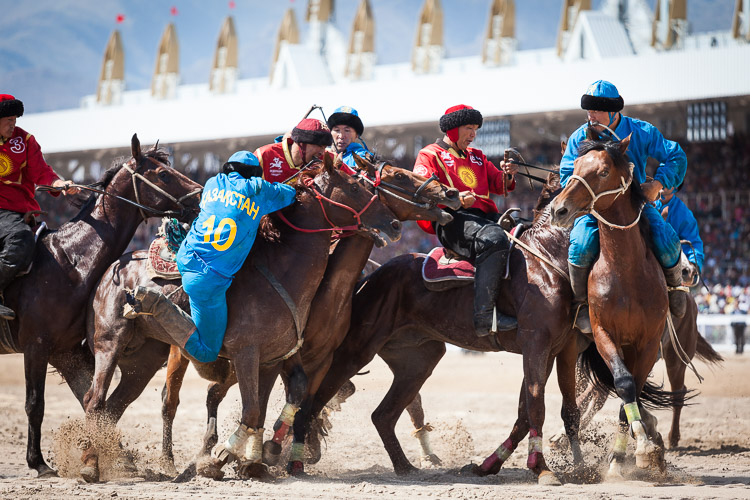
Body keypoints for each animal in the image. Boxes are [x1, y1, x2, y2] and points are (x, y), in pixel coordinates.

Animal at [0, 135, 203, 478]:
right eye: (163, 174)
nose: (201, 195)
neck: (67, 261)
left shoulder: (65, 351)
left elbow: (93, 401)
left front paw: (114, 456)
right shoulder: (37, 345)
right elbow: (36, 403)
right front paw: (38, 462)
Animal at [308, 172, 584, 484]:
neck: (543, 259)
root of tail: (371, 277)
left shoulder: (558, 349)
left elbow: (537, 410)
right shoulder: (536, 345)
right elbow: (536, 405)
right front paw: (543, 469)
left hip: (418, 361)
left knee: (383, 415)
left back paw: (405, 467)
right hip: (356, 352)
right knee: (317, 397)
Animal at [548, 136, 684, 476]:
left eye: (603, 171)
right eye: (575, 166)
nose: (559, 209)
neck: (625, 272)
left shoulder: (648, 343)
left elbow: (630, 392)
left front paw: (633, 453)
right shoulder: (603, 334)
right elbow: (624, 384)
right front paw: (633, 451)